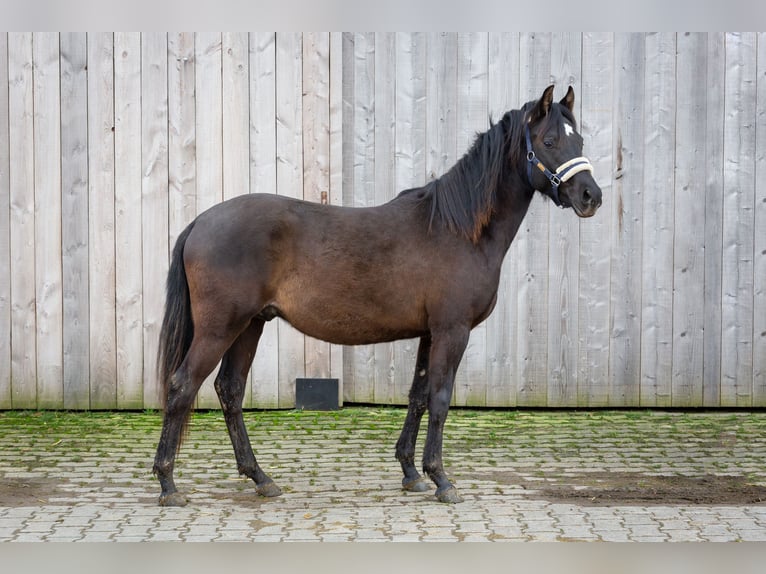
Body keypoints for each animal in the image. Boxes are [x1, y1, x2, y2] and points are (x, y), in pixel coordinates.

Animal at [153, 83, 604, 506]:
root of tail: (200, 222)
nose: (591, 197)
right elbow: (440, 399)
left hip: (249, 325)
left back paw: (260, 478)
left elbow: (418, 396)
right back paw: (169, 484)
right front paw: (442, 480)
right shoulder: (452, 330)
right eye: (549, 141)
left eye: (579, 140)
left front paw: (412, 473)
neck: (458, 229)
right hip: (220, 328)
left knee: (230, 390)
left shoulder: (429, 333)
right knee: (182, 386)